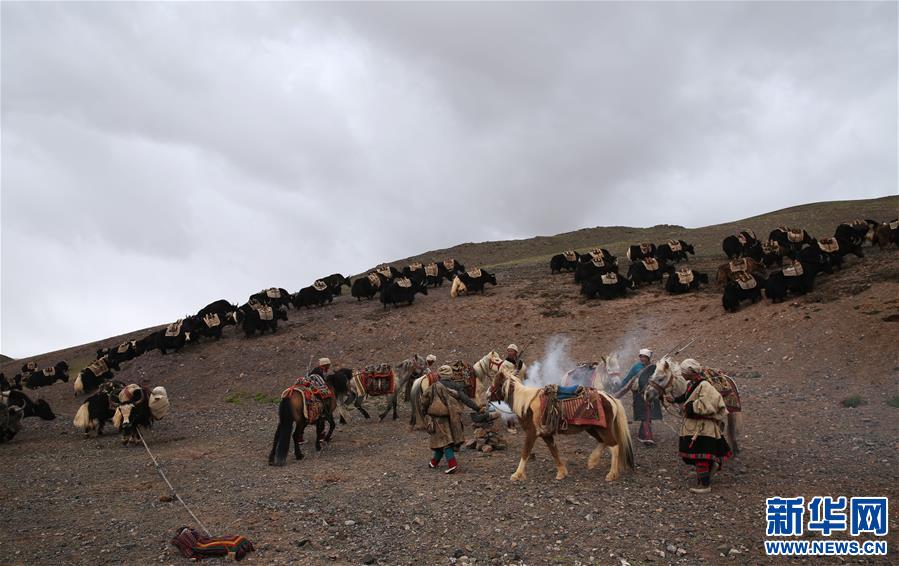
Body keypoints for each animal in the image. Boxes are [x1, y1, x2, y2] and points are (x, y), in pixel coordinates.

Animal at [488, 368, 636, 484]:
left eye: (495, 383)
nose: (487, 394)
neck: (526, 403)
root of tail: (610, 398)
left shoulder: (531, 433)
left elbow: (525, 452)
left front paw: (517, 474)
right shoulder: (546, 434)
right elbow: (554, 451)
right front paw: (562, 472)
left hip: (602, 429)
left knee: (614, 446)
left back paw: (611, 474)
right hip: (593, 428)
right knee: (604, 442)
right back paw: (592, 461)